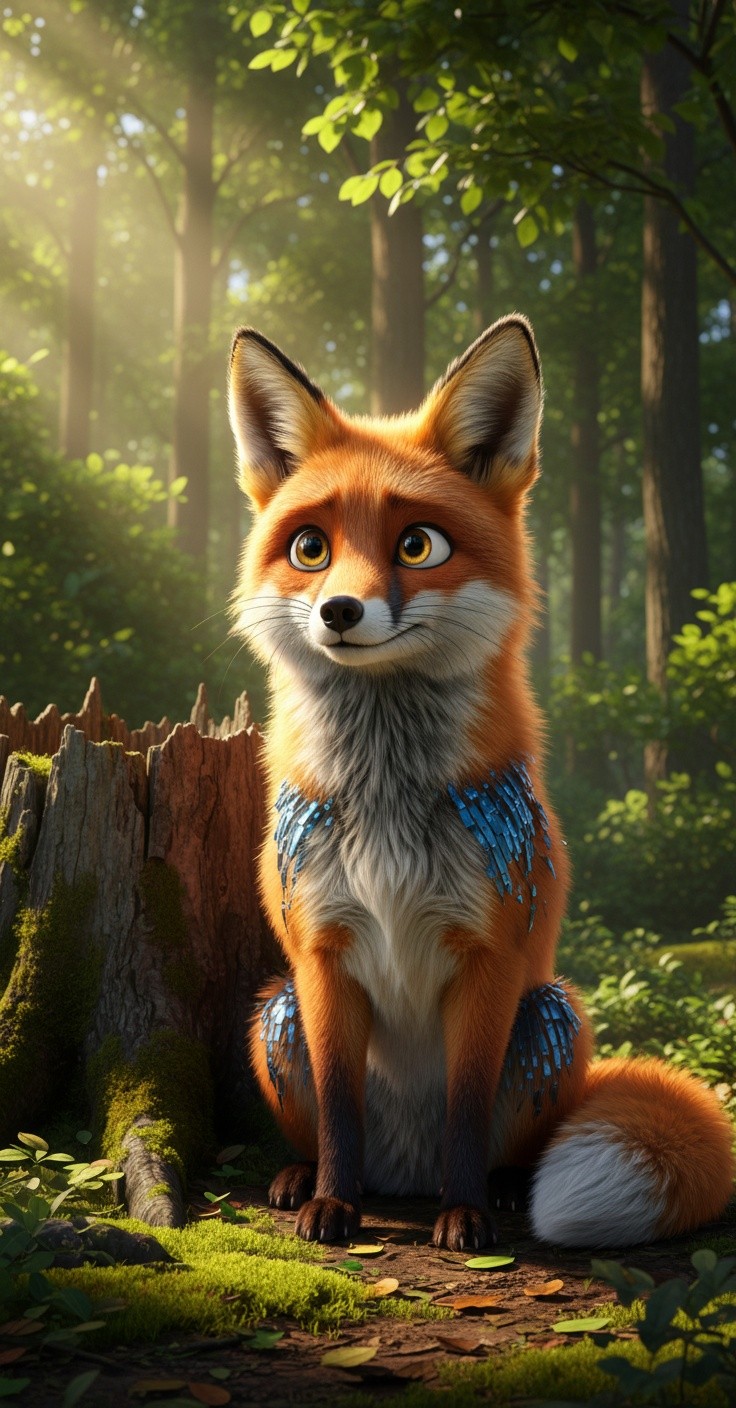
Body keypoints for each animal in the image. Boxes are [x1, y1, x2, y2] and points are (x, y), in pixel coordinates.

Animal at [227, 316, 734, 1251]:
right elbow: (342, 1108)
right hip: (275, 1014)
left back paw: (489, 1192)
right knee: (329, 1127)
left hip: (553, 1017)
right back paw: (303, 1178)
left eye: (416, 544)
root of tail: (403, 1177)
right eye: (311, 548)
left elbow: (465, 1102)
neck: (388, 803)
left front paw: (465, 1217)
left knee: (506, 1144)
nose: (339, 613)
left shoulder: (490, 956)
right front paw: (333, 1205)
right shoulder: (320, 955)